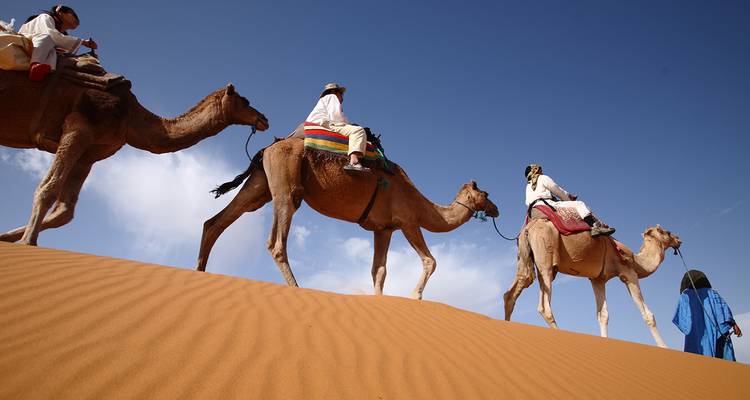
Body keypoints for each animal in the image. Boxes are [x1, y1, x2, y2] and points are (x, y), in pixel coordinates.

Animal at [0, 68, 268, 245]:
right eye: (245, 101)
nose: (264, 118)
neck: (131, 117)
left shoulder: (91, 152)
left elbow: (64, 210)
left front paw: (7, 237)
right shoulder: (79, 128)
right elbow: (48, 188)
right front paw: (27, 242)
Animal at [196, 138, 499, 299]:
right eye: (485, 193)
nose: (496, 209)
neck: (423, 205)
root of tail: (267, 148)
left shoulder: (384, 229)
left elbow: (379, 271)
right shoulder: (408, 221)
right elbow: (430, 260)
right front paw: (415, 296)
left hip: (260, 185)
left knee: (216, 222)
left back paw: (199, 272)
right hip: (285, 185)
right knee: (276, 242)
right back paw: (298, 288)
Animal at [503, 220, 681, 348]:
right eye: (667, 232)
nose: (679, 239)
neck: (638, 261)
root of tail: (528, 228)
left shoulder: (598, 279)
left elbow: (603, 315)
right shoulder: (628, 273)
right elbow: (648, 315)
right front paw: (665, 348)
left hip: (525, 256)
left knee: (513, 292)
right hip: (545, 259)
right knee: (543, 306)